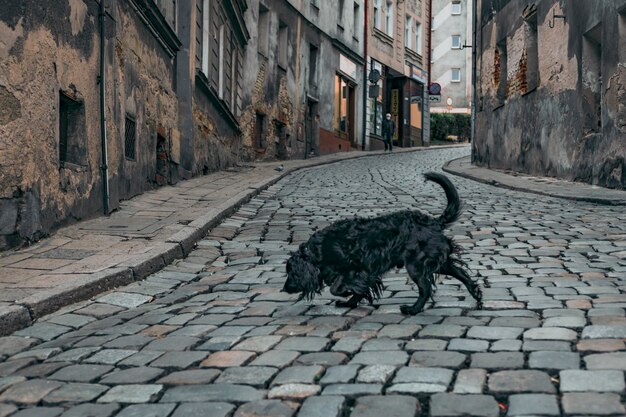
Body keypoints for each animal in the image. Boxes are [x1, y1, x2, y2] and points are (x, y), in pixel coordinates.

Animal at [280, 171, 480, 314]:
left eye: (292, 273)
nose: (284, 289)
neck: (320, 250)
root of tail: (434, 221)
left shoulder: (354, 269)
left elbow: (337, 288)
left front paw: (346, 292)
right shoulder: (365, 272)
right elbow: (359, 290)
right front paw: (350, 302)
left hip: (416, 265)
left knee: (426, 287)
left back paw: (413, 309)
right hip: (437, 262)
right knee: (461, 273)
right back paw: (477, 295)